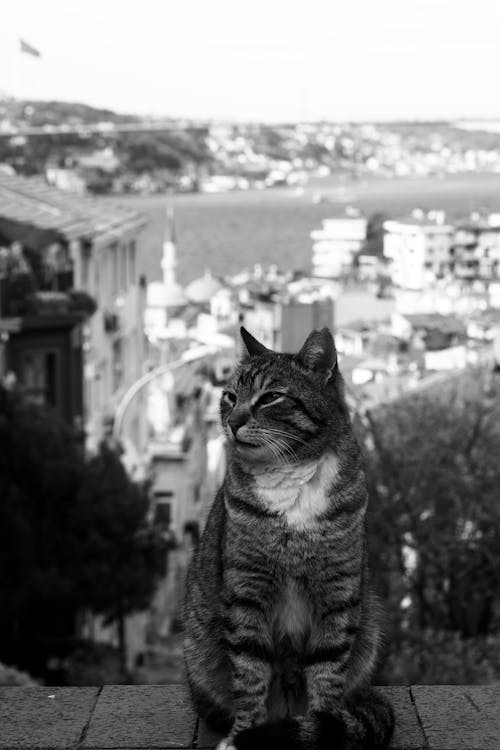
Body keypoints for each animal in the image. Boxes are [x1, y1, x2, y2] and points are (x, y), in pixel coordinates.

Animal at [184, 328, 394, 750]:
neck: (291, 478)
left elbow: (328, 670)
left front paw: (325, 725)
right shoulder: (246, 588)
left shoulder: (337, 591)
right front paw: (244, 735)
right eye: (230, 397)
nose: (233, 420)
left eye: (270, 398)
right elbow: (250, 671)